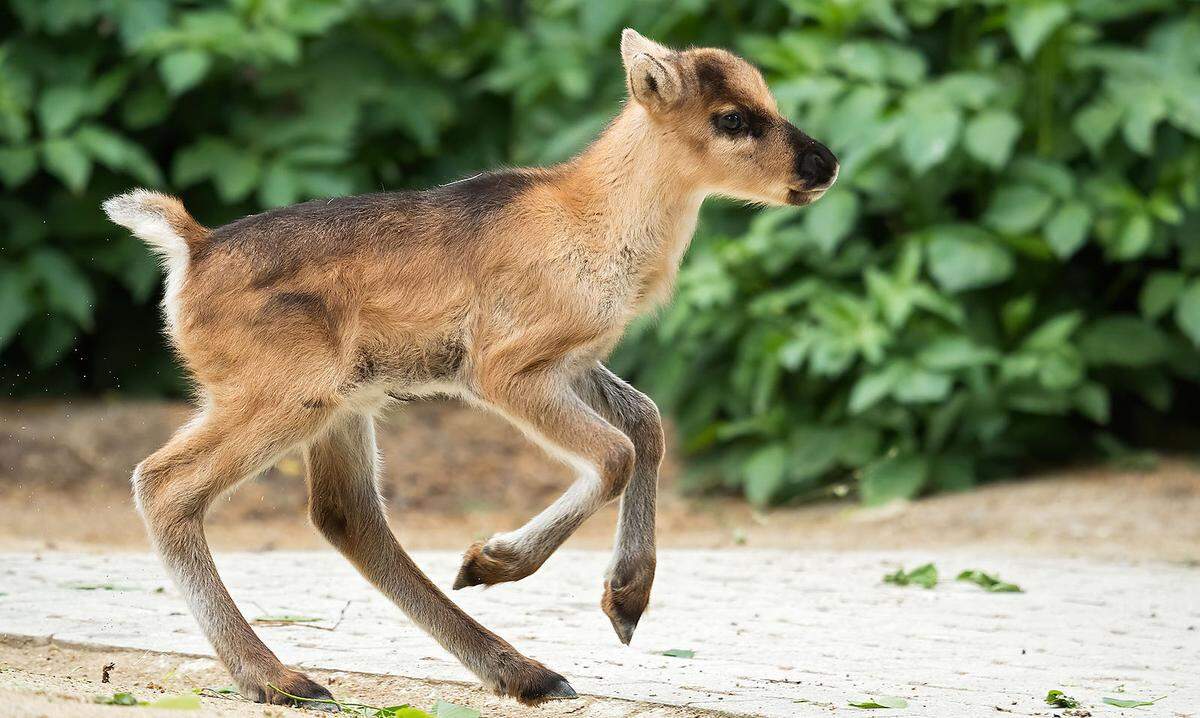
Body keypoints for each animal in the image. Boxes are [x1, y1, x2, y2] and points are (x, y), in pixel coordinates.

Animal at [100, 29, 835, 710]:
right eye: (732, 118)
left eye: (768, 97)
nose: (824, 163)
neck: (594, 223)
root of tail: (190, 250)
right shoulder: (502, 368)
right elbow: (616, 452)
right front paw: (493, 561)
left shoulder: (573, 360)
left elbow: (648, 424)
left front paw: (624, 603)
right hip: (284, 394)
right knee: (162, 483)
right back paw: (279, 680)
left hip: (340, 404)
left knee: (347, 513)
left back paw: (525, 672)